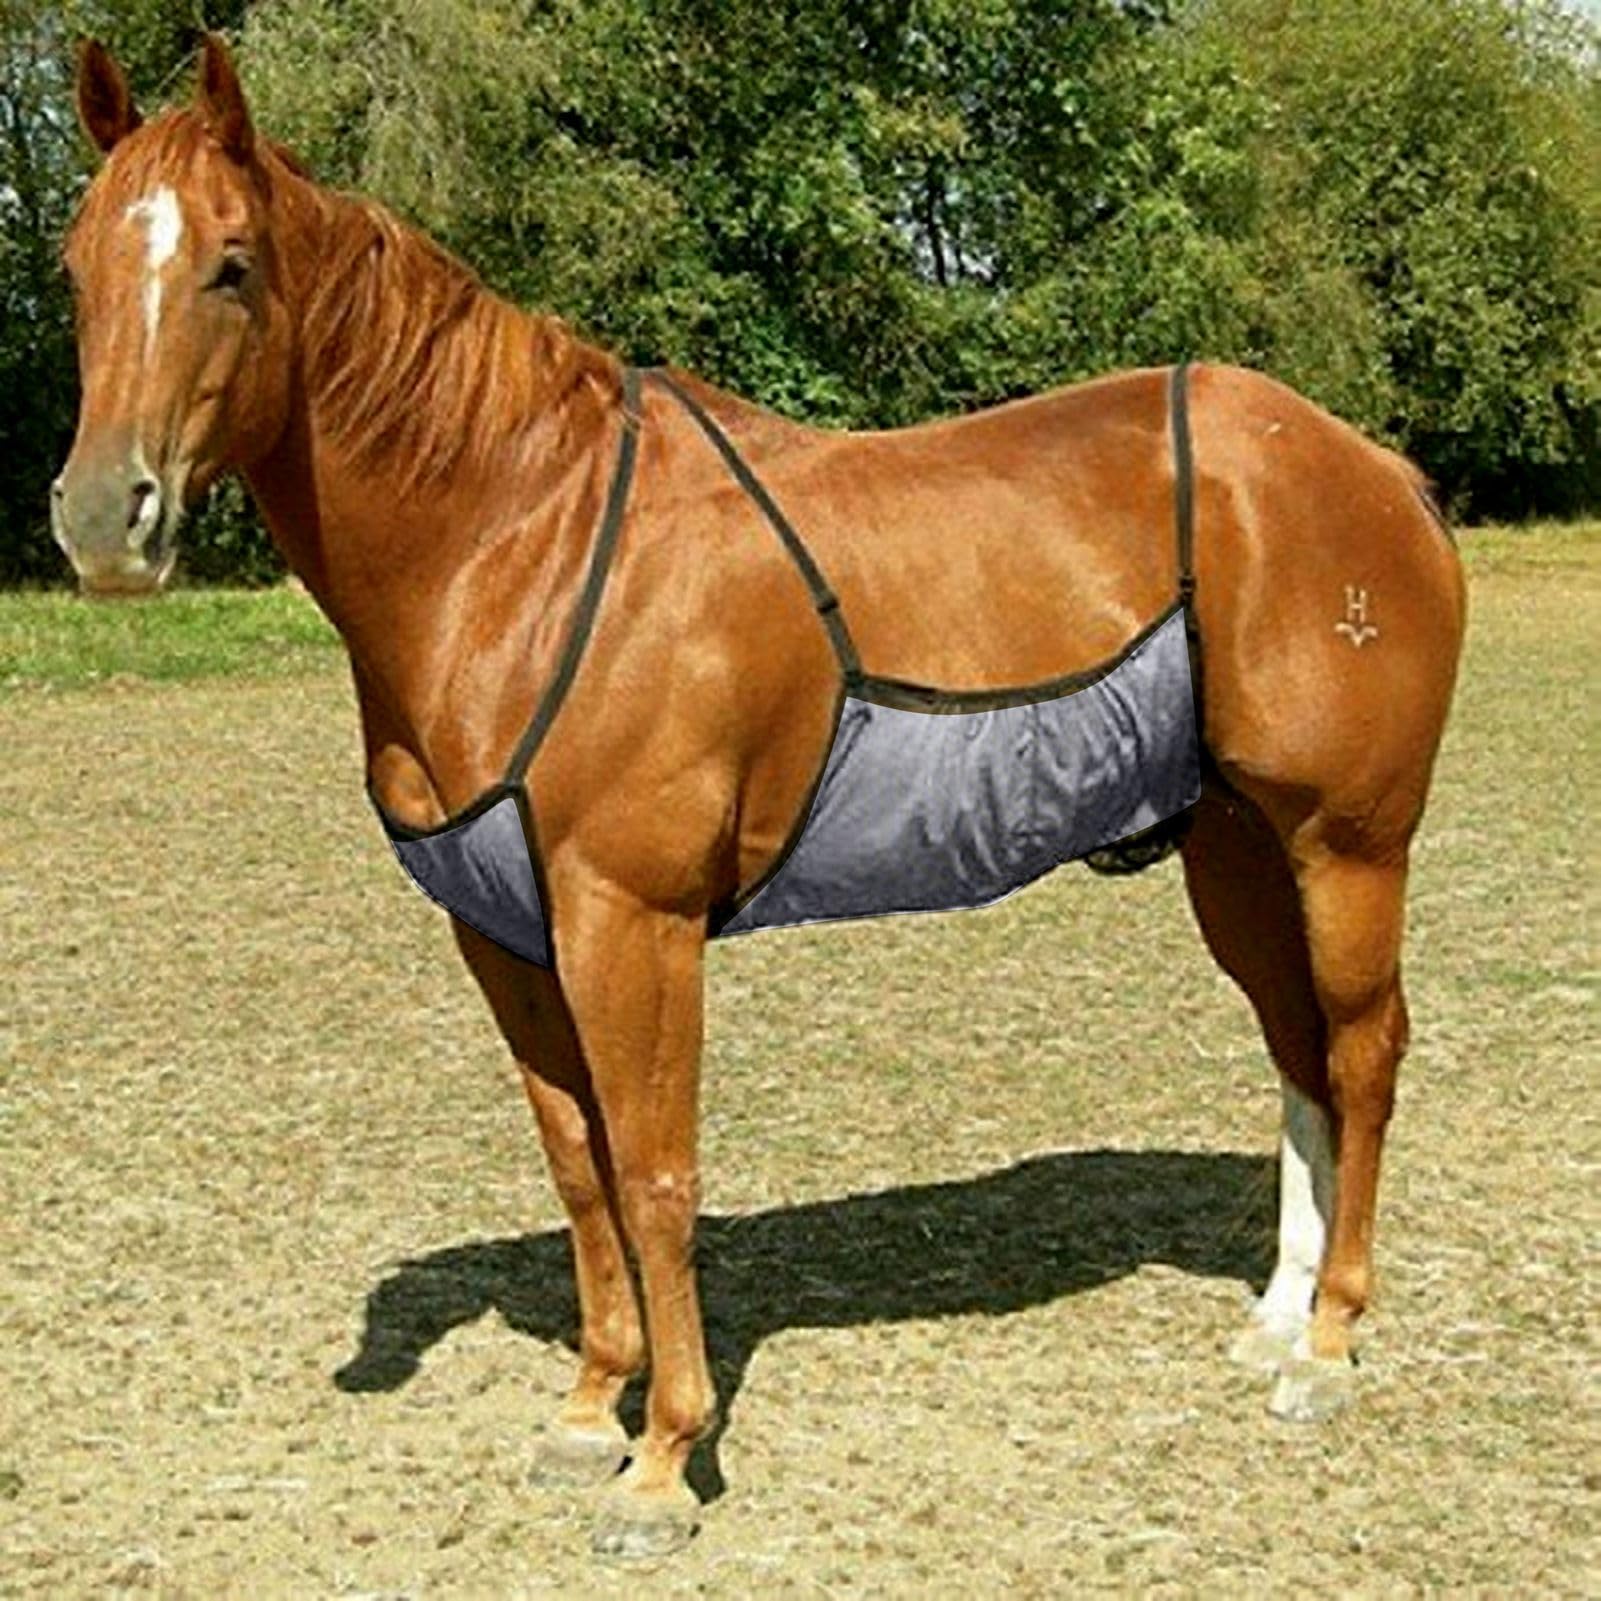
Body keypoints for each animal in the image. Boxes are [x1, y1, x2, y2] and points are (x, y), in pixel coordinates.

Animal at [53, 36, 1464, 1558]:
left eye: (232, 264)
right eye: (75, 267)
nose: (103, 519)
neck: (522, 543)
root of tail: (1375, 468)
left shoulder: (632, 921)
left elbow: (656, 1172)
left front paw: (665, 1457)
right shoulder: (505, 936)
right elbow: (577, 1162)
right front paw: (585, 1411)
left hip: (1345, 845)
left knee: (1363, 1054)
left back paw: (1330, 1345)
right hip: (1240, 855)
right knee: (1298, 1054)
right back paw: (1278, 1318)